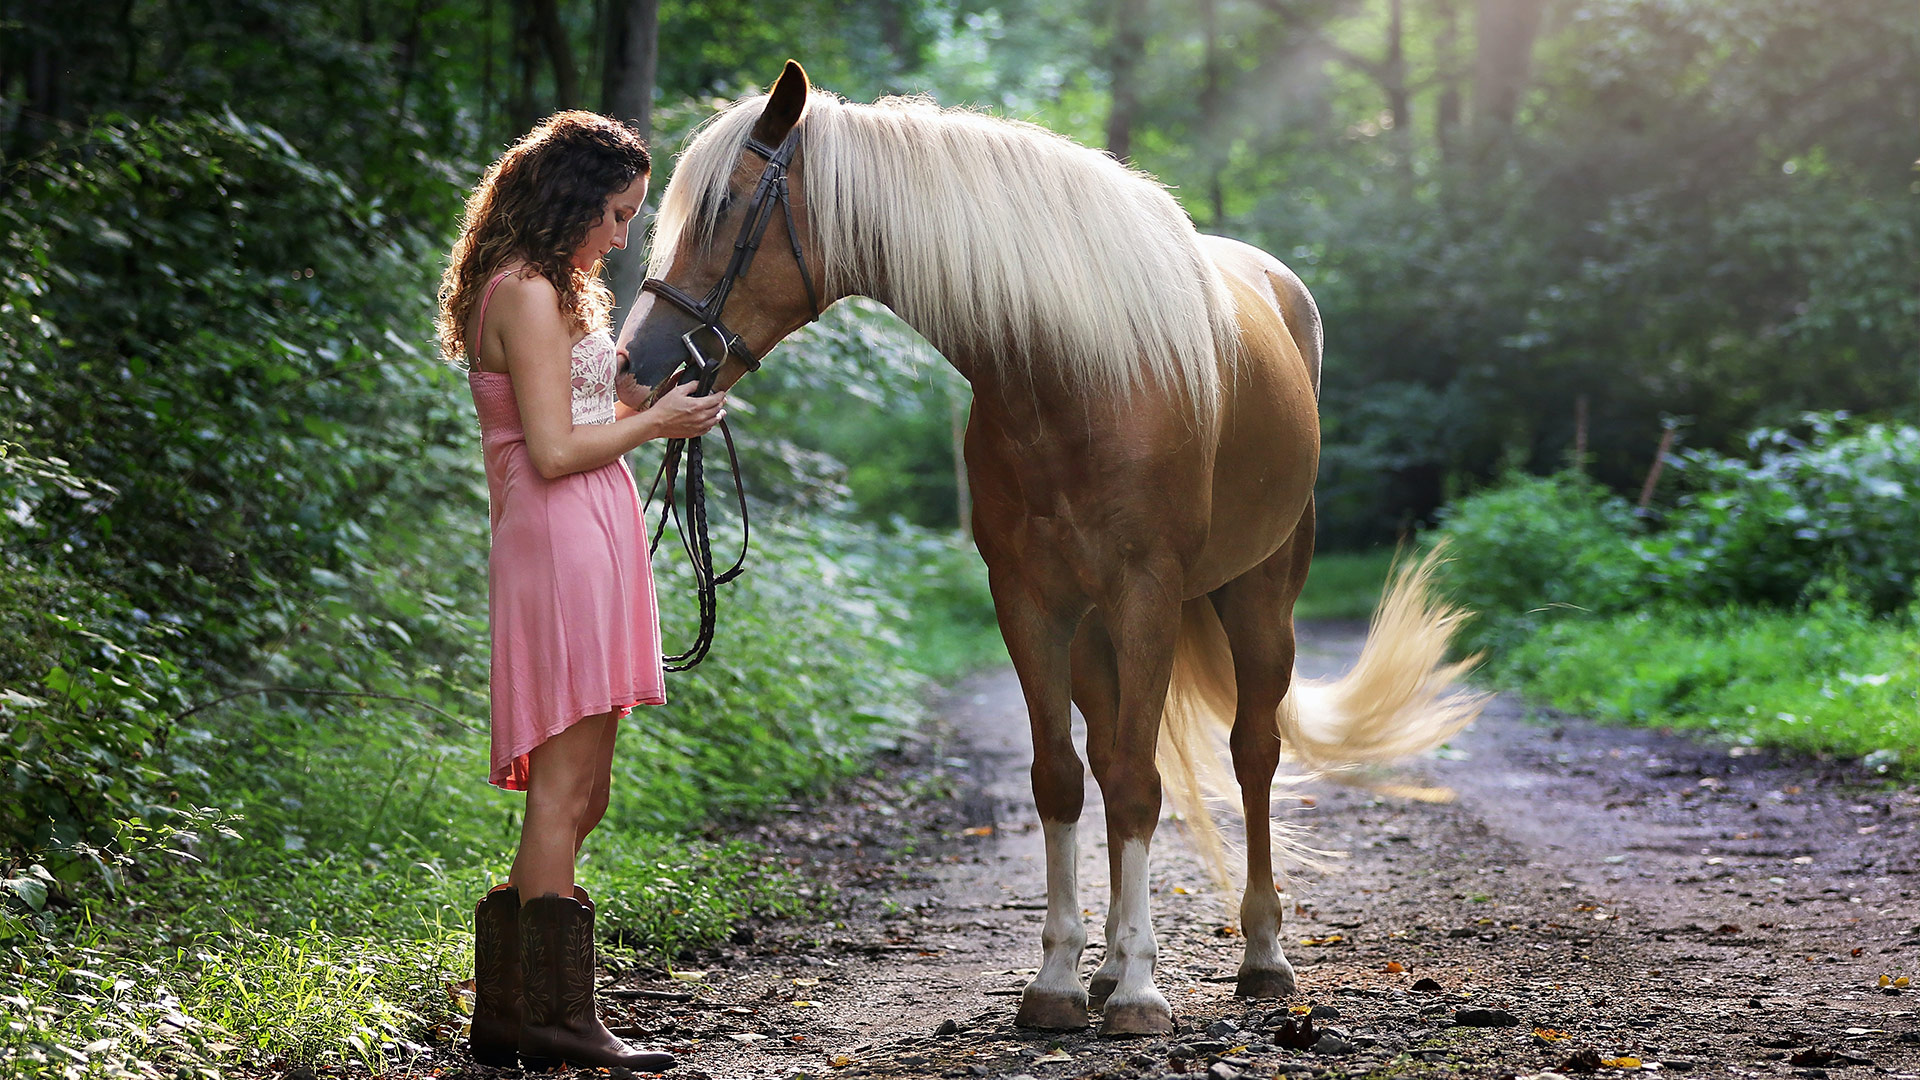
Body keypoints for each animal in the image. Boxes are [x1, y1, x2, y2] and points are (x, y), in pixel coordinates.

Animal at [616, 60, 1482, 1036]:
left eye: (725, 208)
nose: (634, 366)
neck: (1072, 376)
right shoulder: (1029, 601)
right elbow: (1062, 779)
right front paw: (1064, 980)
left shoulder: (1147, 593)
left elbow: (1142, 782)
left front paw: (1142, 992)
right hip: (1098, 631)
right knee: (1108, 756)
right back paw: (1107, 966)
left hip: (1260, 598)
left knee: (1252, 753)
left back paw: (1261, 955)